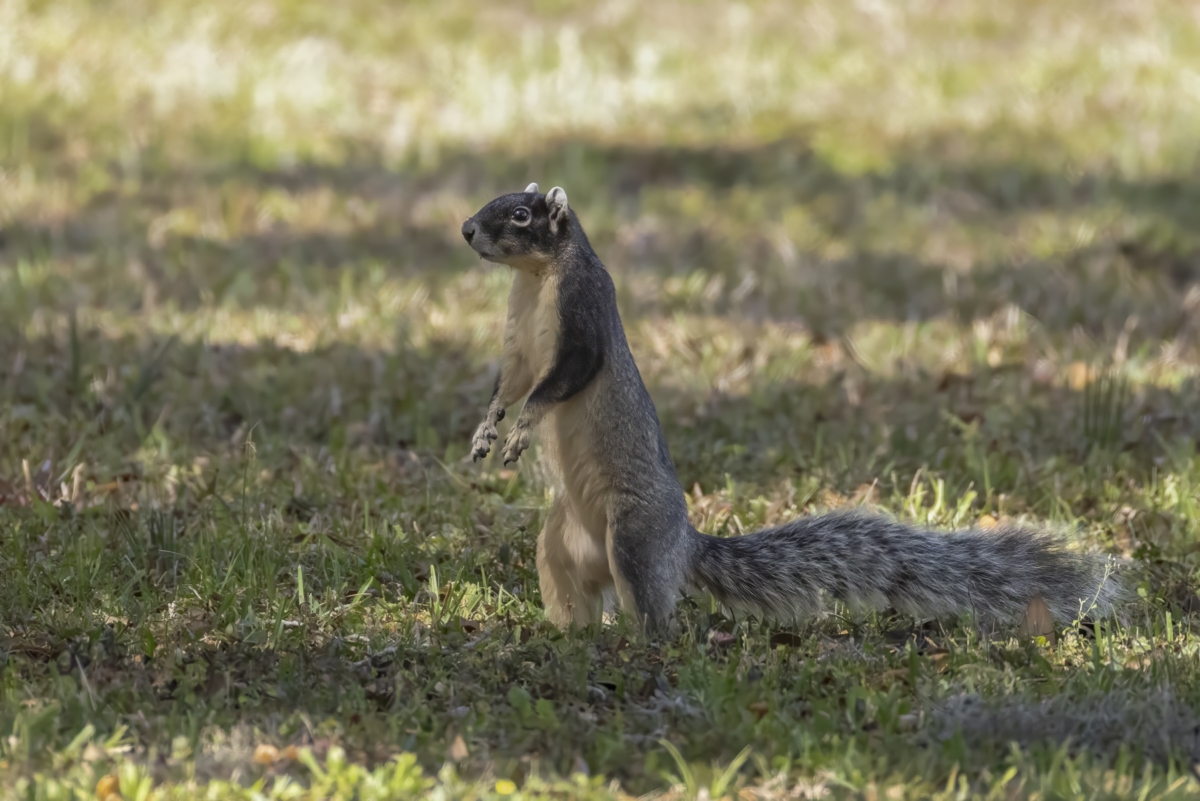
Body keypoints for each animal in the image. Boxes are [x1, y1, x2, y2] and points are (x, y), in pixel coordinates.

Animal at [460, 183, 1122, 633]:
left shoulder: (585, 319)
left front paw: (522, 429)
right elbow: (512, 382)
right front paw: (487, 429)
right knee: (575, 594)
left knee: (652, 614)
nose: (467, 229)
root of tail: (682, 545)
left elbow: (557, 382)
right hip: (557, 546)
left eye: (520, 214)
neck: (536, 280)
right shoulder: (520, 345)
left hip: (633, 537)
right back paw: (567, 636)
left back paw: (635, 641)